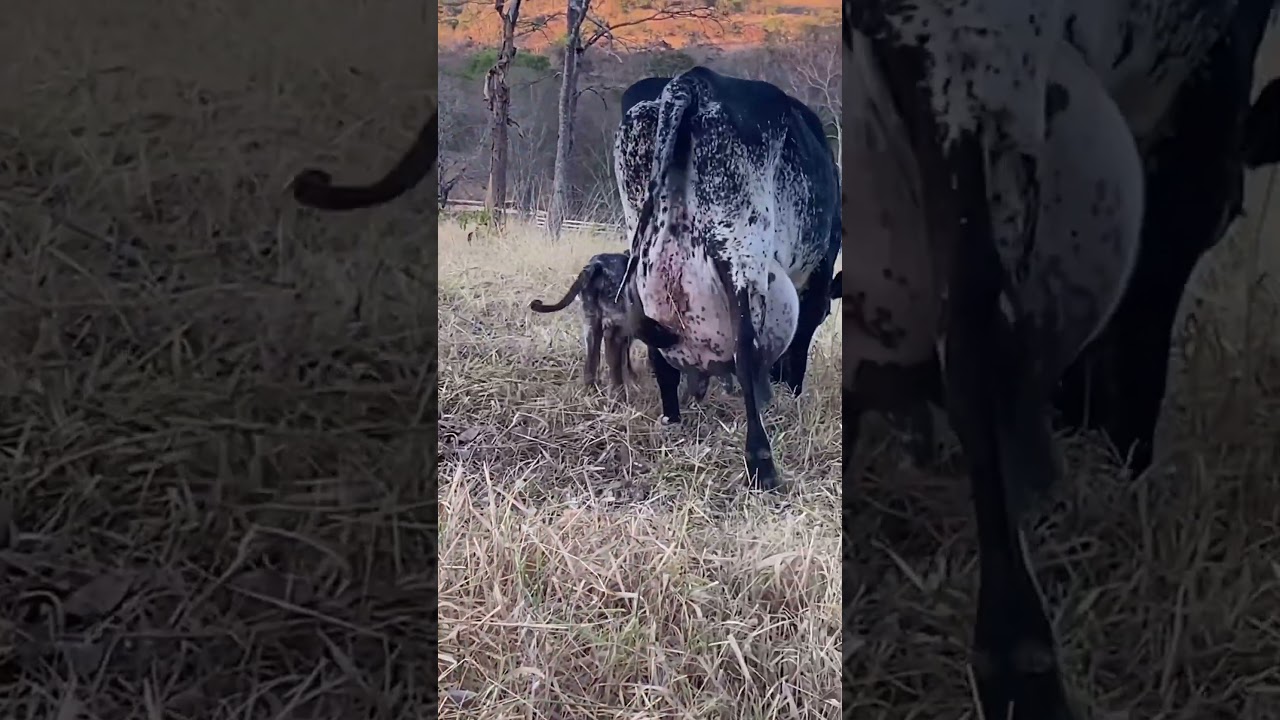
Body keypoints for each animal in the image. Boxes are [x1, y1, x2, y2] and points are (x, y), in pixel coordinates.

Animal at [613, 67, 840, 490]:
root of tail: (690, 83)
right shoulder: (817, 275)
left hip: (643, 243)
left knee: (656, 346)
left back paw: (673, 419)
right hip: (740, 248)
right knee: (745, 347)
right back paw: (762, 464)